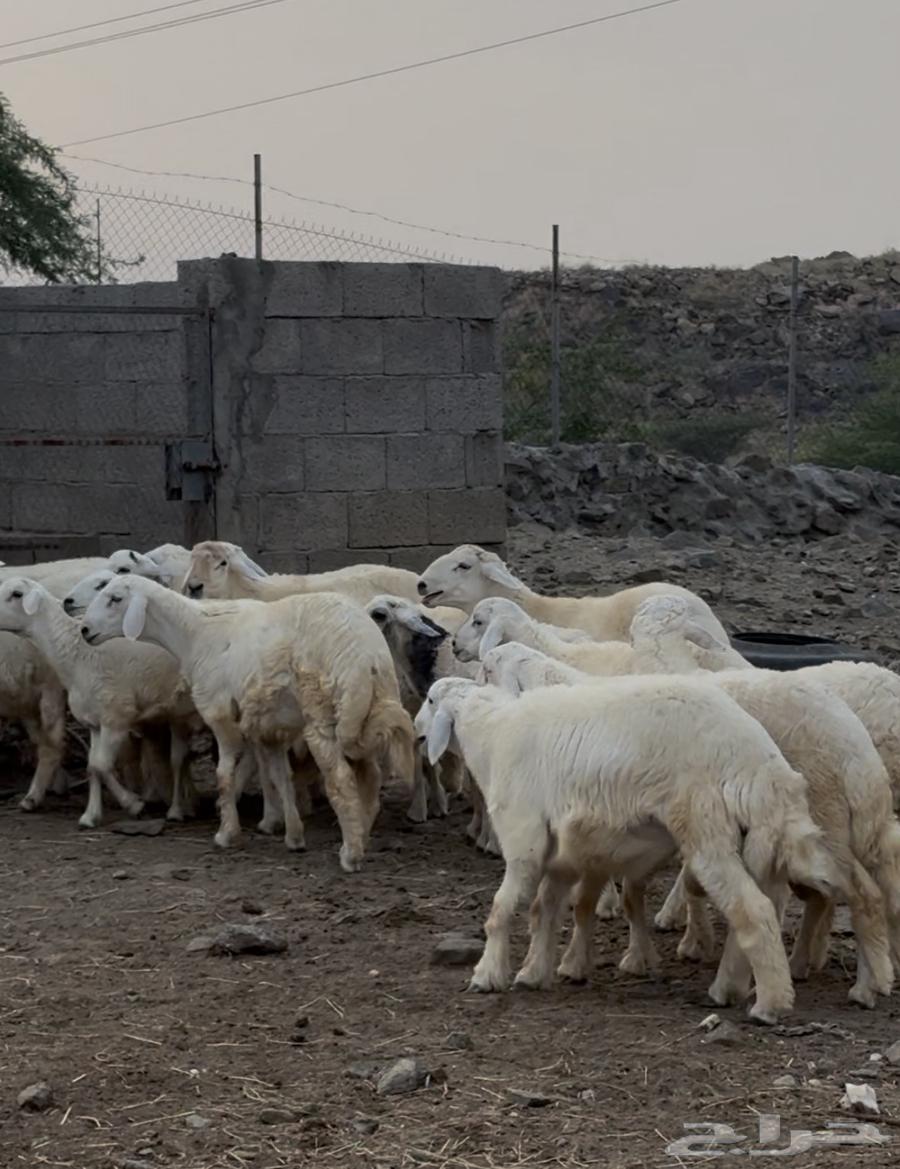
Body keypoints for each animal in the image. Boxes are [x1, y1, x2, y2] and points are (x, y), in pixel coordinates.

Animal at [0, 577, 199, 827]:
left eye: (17, 594)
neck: (75, 654)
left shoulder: (116, 719)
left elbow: (103, 765)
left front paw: (133, 804)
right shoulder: (93, 722)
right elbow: (93, 766)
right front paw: (91, 815)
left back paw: (177, 808)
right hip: (178, 713)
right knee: (180, 758)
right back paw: (185, 805)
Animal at [81, 576, 415, 872]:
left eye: (115, 599)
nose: (84, 630)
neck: (193, 634)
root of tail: (363, 653)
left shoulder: (220, 715)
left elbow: (224, 775)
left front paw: (227, 833)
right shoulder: (272, 730)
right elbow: (280, 778)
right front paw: (293, 836)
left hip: (323, 714)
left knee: (341, 781)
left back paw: (351, 854)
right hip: (366, 707)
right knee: (370, 776)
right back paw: (362, 835)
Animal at [416, 675, 836, 1023]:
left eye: (430, 699)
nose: (418, 735)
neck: (492, 737)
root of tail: (763, 765)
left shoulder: (525, 840)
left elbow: (501, 909)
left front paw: (487, 974)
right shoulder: (561, 857)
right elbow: (545, 910)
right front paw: (535, 972)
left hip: (706, 824)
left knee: (754, 911)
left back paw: (770, 1005)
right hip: (756, 842)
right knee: (758, 909)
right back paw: (729, 989)